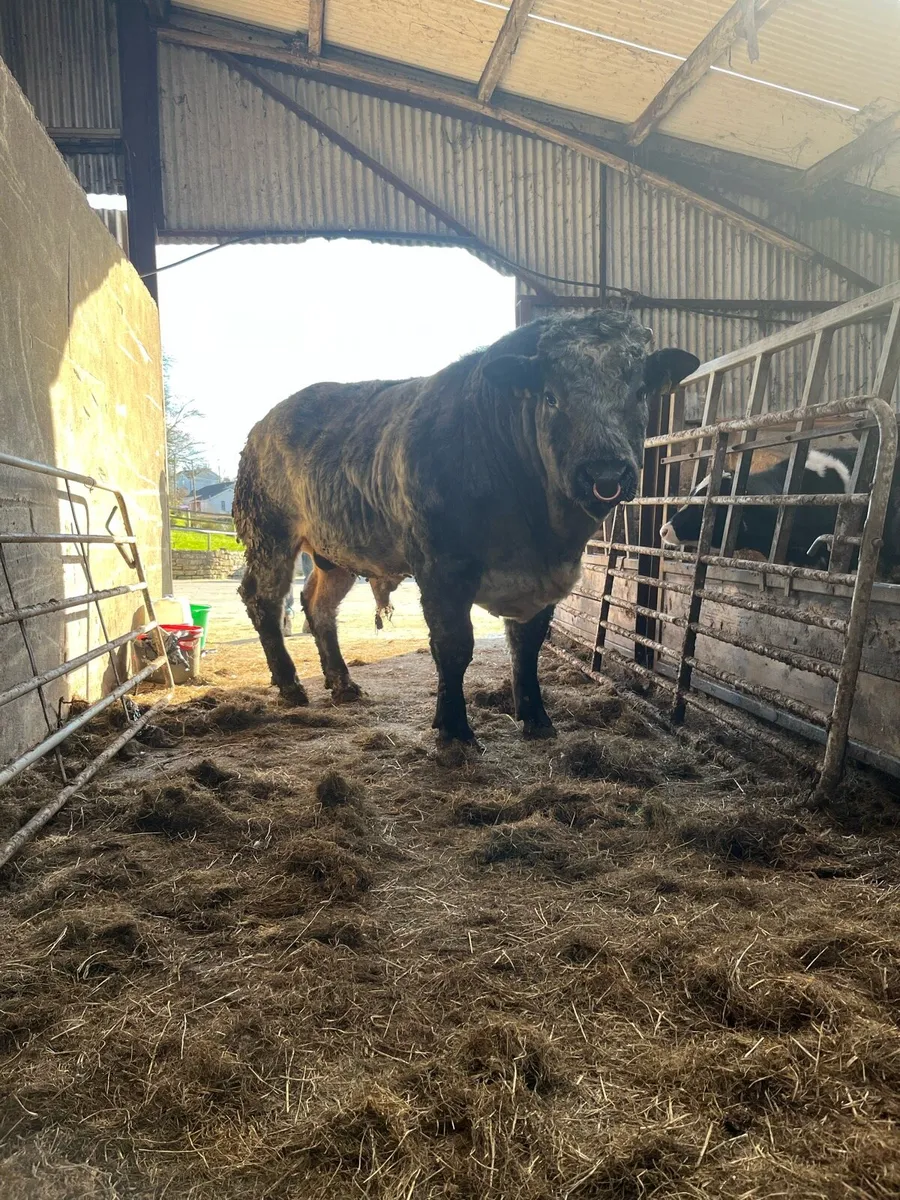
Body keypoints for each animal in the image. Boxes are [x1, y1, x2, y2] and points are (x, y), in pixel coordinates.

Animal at [233, 310, 697, 744]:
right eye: (551, 396)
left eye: (640, 392)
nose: (605, 472)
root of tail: (264, 424)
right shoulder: (442, 567)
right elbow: (454, 647)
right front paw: (454, 731)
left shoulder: (544, 579)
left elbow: (527, 647)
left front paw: (536, 718)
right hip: (270, 534)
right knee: (263, 599)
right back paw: (291, 686)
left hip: (335, 553)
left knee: (318, 605)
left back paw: (343, 683)